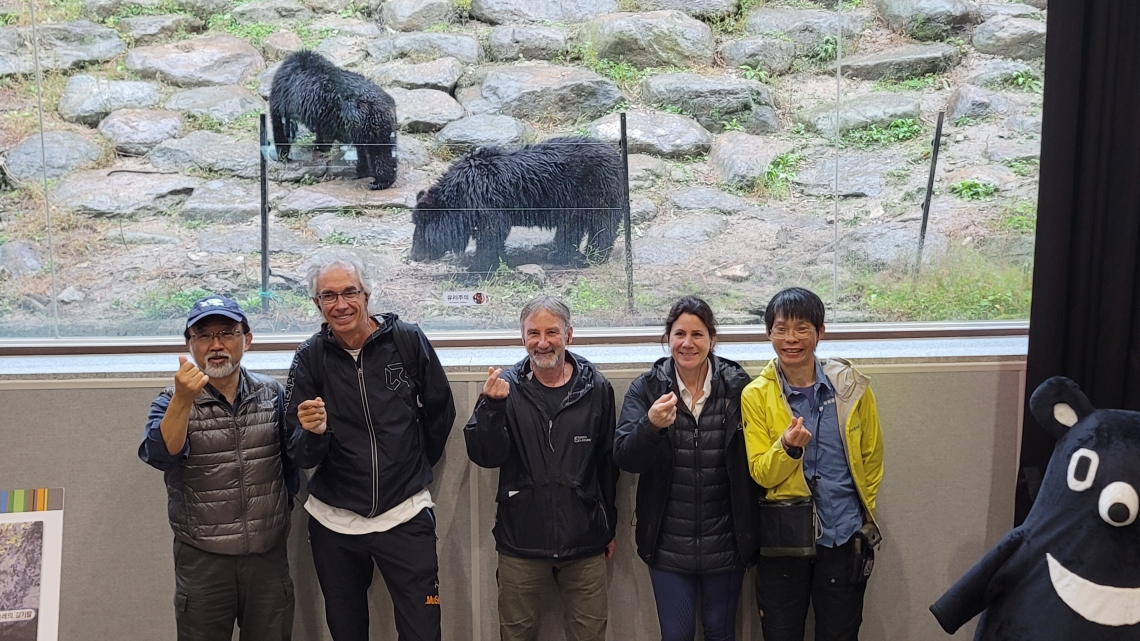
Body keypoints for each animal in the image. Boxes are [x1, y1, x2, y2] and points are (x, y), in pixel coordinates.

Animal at [269, 49, 399, 189]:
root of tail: (386, 105)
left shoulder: (283, 94)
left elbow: (281, 124)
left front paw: (281, 155)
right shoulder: (323, 117)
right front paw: (319, 145)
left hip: (368, 126)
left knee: (378, 152)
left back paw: (378, 182)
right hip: (379, 127)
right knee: (382, 150)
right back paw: (365, 172)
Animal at [410, 135, 624, 270]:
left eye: (421, 230)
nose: (413, 255)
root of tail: (616, 156)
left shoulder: (489, 203)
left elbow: (492, 235)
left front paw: (477, 268)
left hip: (598, 192)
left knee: (602, 226)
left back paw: (592, 257)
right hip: (574, 201)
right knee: (571, 226)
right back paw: (559, 255)